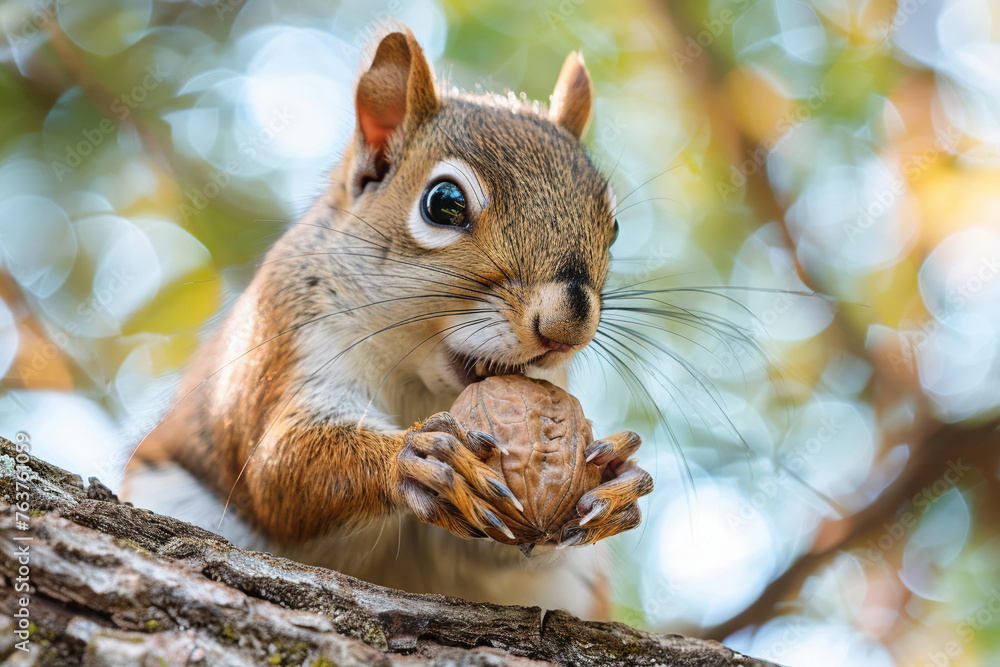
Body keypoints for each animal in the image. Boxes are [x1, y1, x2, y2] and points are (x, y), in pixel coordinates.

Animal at [123, 26, 656, 620]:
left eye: (612, 226)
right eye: (444, 203)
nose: (567, 327)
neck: (418, 379)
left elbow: (525, 529)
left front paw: (614, 480)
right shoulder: (289, 345)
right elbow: (277, 469)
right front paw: (415, 457)